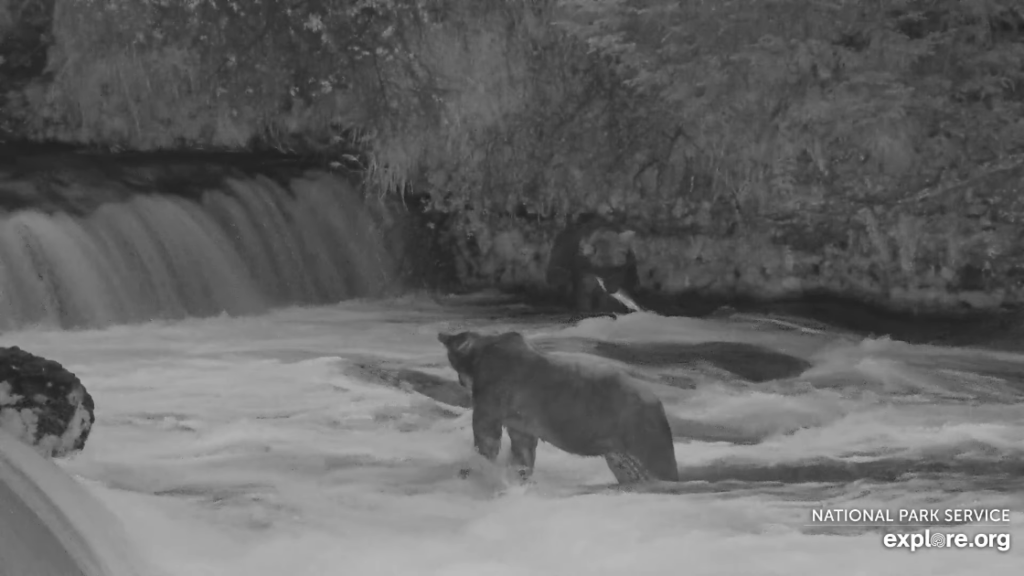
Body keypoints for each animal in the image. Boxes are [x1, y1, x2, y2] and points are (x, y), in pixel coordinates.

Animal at [436, 330, 675, 481]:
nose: (460, 381)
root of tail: (660, 404)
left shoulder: (491, 401)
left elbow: (486, 437)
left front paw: (474, 467)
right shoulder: (520, 421)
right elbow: (522, 450)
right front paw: (518, 473)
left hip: (642, 435)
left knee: (659, 466)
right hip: (620, 450)